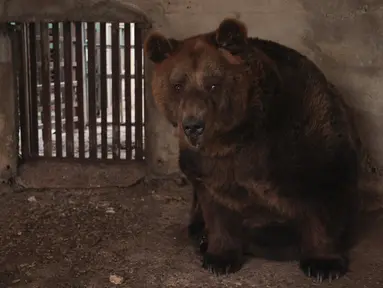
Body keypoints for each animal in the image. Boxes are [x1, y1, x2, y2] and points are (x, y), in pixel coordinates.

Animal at [146, 18, 362, 284]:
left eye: (213, 83)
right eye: (177, 85)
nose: (193, 126)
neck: (235, 138)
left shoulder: (301, 133)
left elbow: (324, 190)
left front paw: (324, 265)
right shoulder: (206, 164)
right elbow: (217, 206)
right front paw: (219, 258)